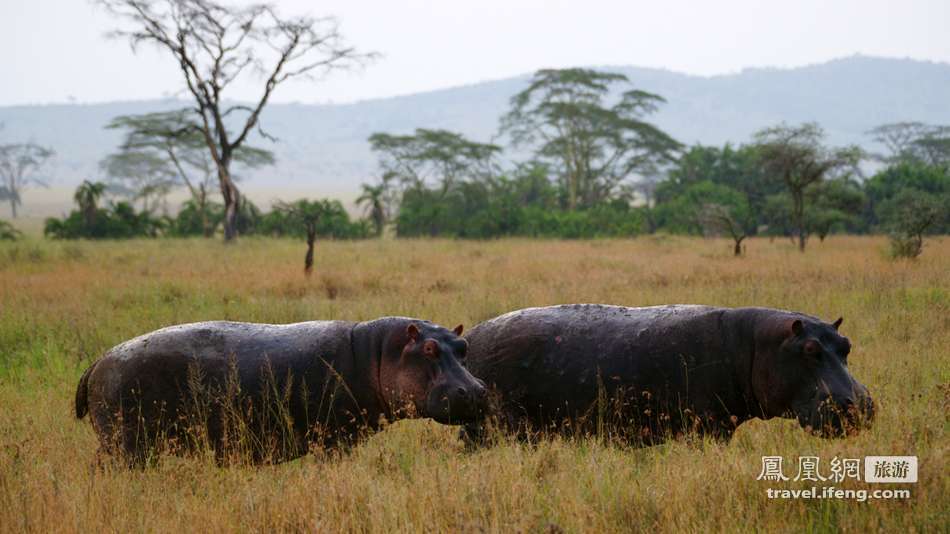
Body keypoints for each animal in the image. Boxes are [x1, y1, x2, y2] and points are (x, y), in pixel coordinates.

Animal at [77, 318, 488, 464]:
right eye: (429, 349)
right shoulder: (334, 438)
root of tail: (98, 361)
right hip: (127, 442)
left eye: (463, 346)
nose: (475, 391)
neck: (378, 352)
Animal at [464, 306, 872, 448]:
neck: (760, 344)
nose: (861, 404)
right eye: (810, 350)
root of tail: (471, 336)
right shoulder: (709, 427)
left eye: (846, 344)